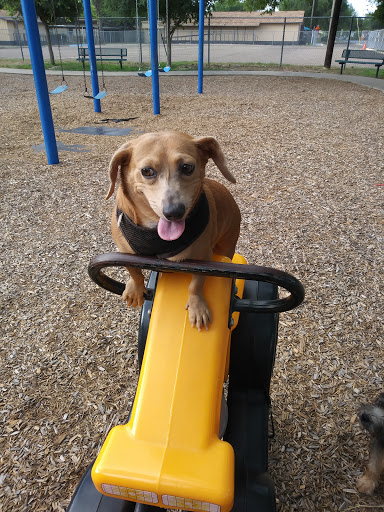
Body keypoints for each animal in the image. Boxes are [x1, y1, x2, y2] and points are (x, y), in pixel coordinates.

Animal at [106, 132, 240, 330]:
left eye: (187, 167)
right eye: (147, 171)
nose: (174, 212)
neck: (156, 235)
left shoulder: (203, 258)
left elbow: (196, 284)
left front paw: (197, 307)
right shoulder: (124, 253)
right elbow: (135, 273)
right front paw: (135, 288)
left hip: (227, 246)